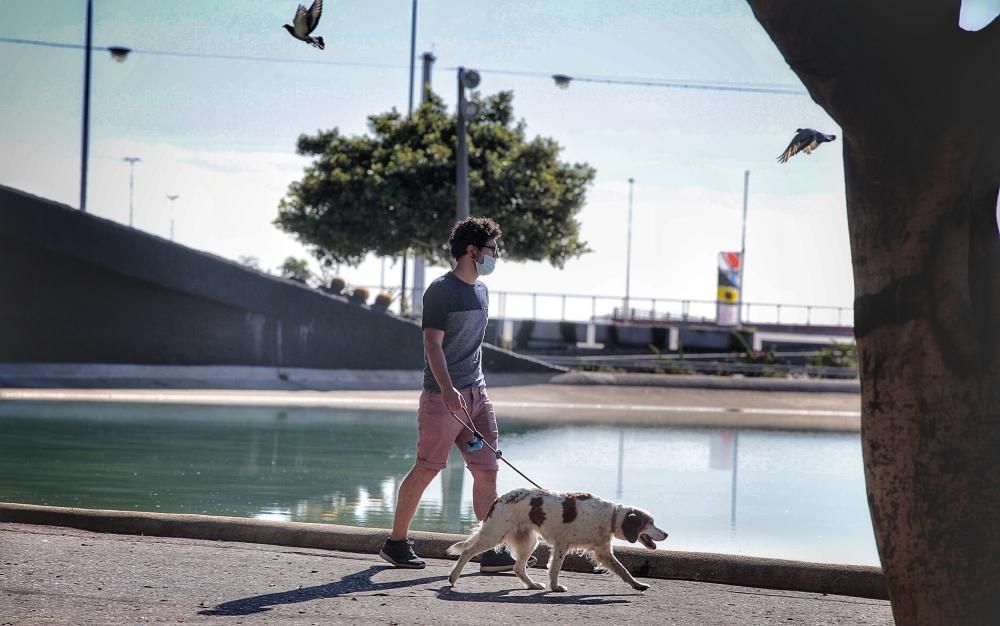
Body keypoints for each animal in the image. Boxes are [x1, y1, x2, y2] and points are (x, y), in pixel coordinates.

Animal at [448, 488, 668, 588]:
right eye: (650, 523)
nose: (666, 533)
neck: (609, 516)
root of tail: (499, 499)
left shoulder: (603, 552)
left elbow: (623, 570)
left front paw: (638, 585)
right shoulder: (562, 544)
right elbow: (555, 569)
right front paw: (554, 588)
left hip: (529, 541)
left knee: (518, 567)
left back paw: (532, 585)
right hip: (494, 534)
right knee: (467, 552)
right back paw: (452, 577)